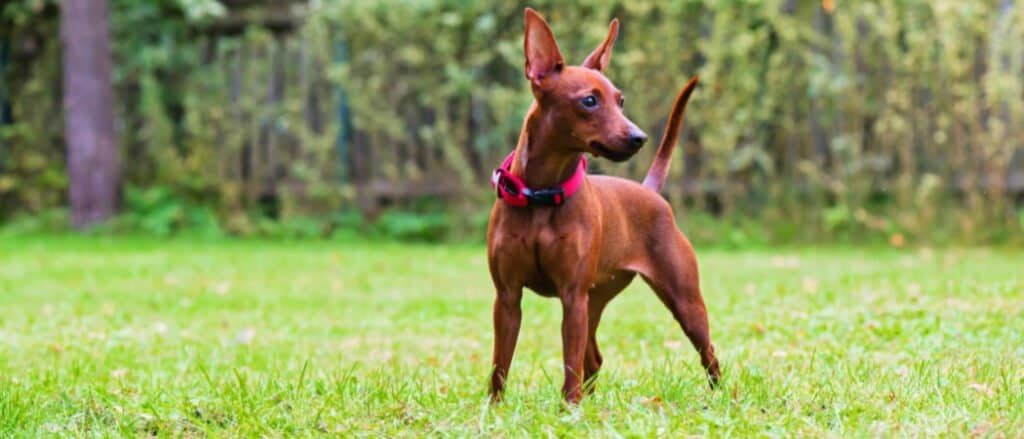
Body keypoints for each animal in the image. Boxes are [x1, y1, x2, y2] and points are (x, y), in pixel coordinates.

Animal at [485, 7, 720, 403]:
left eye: (620, 100)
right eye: (589, 101)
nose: (639, 137)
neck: (542, 194)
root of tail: (650, 192)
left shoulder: (572, 297)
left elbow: (570, 364)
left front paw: (570, 408)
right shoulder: (507, 298)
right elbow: (500, 365)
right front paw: (494, 408)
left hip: (683, 302)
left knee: (709, 354)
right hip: (595, 300)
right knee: (593, 359)